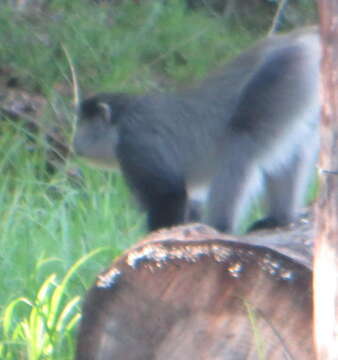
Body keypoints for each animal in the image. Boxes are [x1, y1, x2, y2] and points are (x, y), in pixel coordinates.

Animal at [72, 26, 320, 233]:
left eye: (83, 125)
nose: (74, 143)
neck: (121, 122)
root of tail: (298, 39)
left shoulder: (137, 145)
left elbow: (169, 194)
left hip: (283, 74)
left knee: (242, 139)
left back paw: (221, 228)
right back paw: (279, 218)